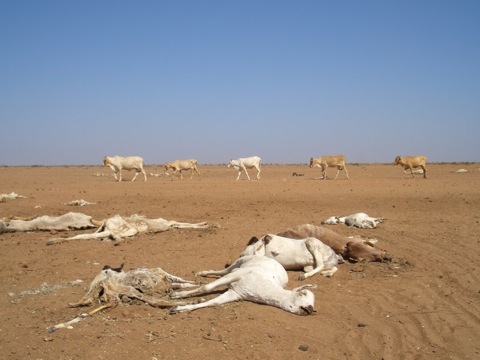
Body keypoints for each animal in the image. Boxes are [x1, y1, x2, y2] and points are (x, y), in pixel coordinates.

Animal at [169, 256, 316, 316]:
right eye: (303, 293)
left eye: (314, 306)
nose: (309, 309)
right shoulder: (237, 276)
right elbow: (206, 288)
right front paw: (177, 295)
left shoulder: (238, 293)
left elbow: (214, 303)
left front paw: (178, 309)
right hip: (238, 263)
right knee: (222, 271)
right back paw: (201, 273)